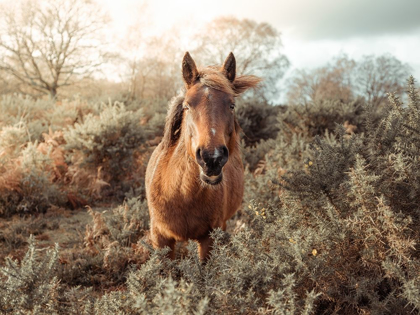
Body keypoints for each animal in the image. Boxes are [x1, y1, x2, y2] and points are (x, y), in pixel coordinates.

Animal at [146, 51, 260, 262]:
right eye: (187, 106)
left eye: (232, 105)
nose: (212, 158)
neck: (181, 194)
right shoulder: (160, 239)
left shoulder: (209, 238)